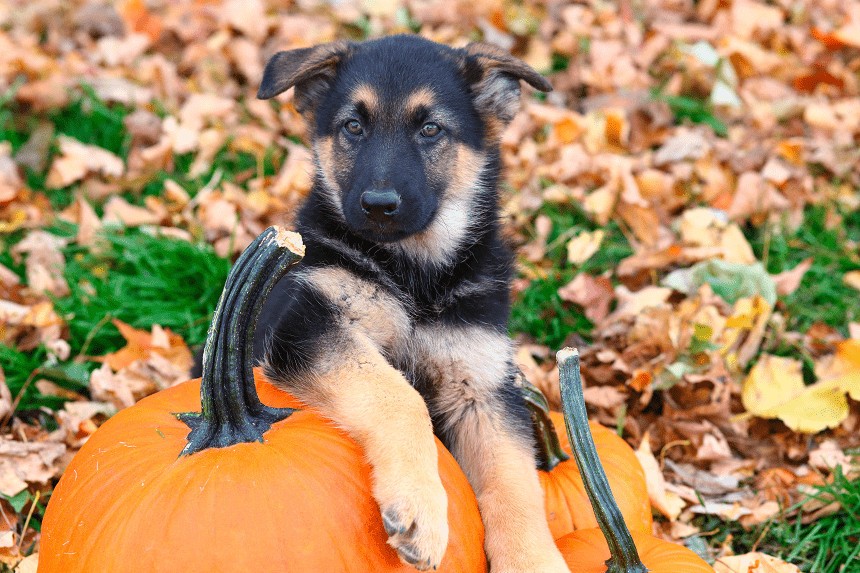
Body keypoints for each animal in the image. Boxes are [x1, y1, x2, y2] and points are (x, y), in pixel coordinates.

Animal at [252, 35, 568, 572]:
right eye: (353, 126)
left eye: (430, 129)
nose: (379, 205)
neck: (415, 273)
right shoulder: (305, 322)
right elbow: (398, 395)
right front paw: (421, 506)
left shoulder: (482, 385)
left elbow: (516, 482)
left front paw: (532, 560)